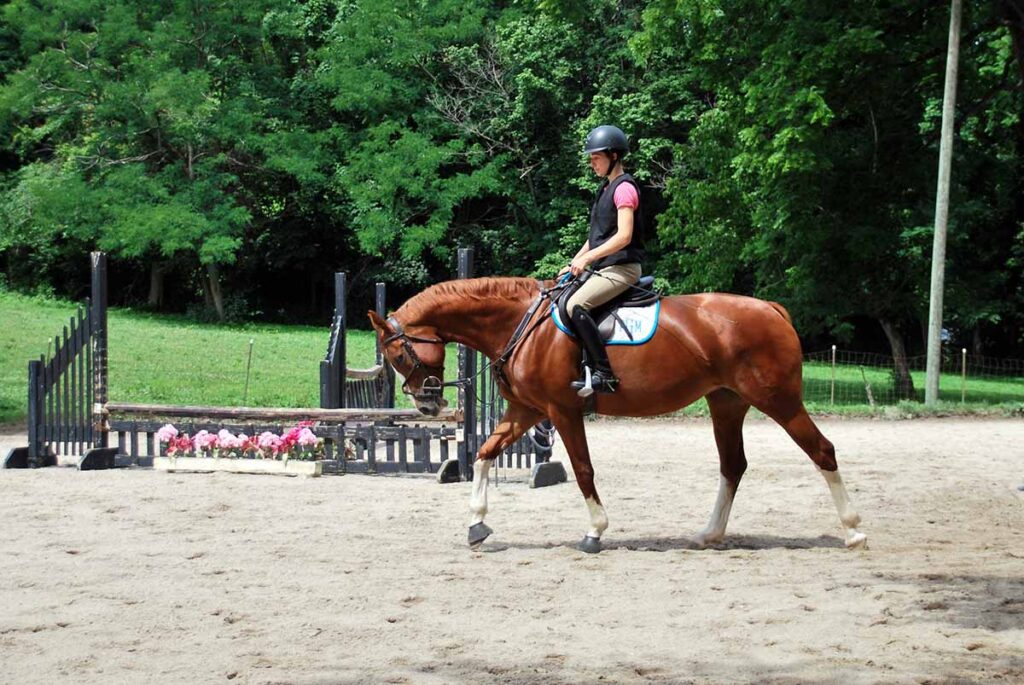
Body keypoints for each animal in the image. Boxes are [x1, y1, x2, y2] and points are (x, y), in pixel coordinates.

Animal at [368, 276, 866, 554]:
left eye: (398, 355)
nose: (427, 403)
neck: (521, 324)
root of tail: (772, 309)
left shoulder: (562, 410)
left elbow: (583, 470)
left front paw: (595, 531)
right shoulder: (526, 410)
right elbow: (484, 453)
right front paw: (476, 525)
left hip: (778, 400)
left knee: (822, 451)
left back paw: (853, 532)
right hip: (726, 403)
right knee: (733, 465)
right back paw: (708, 534)